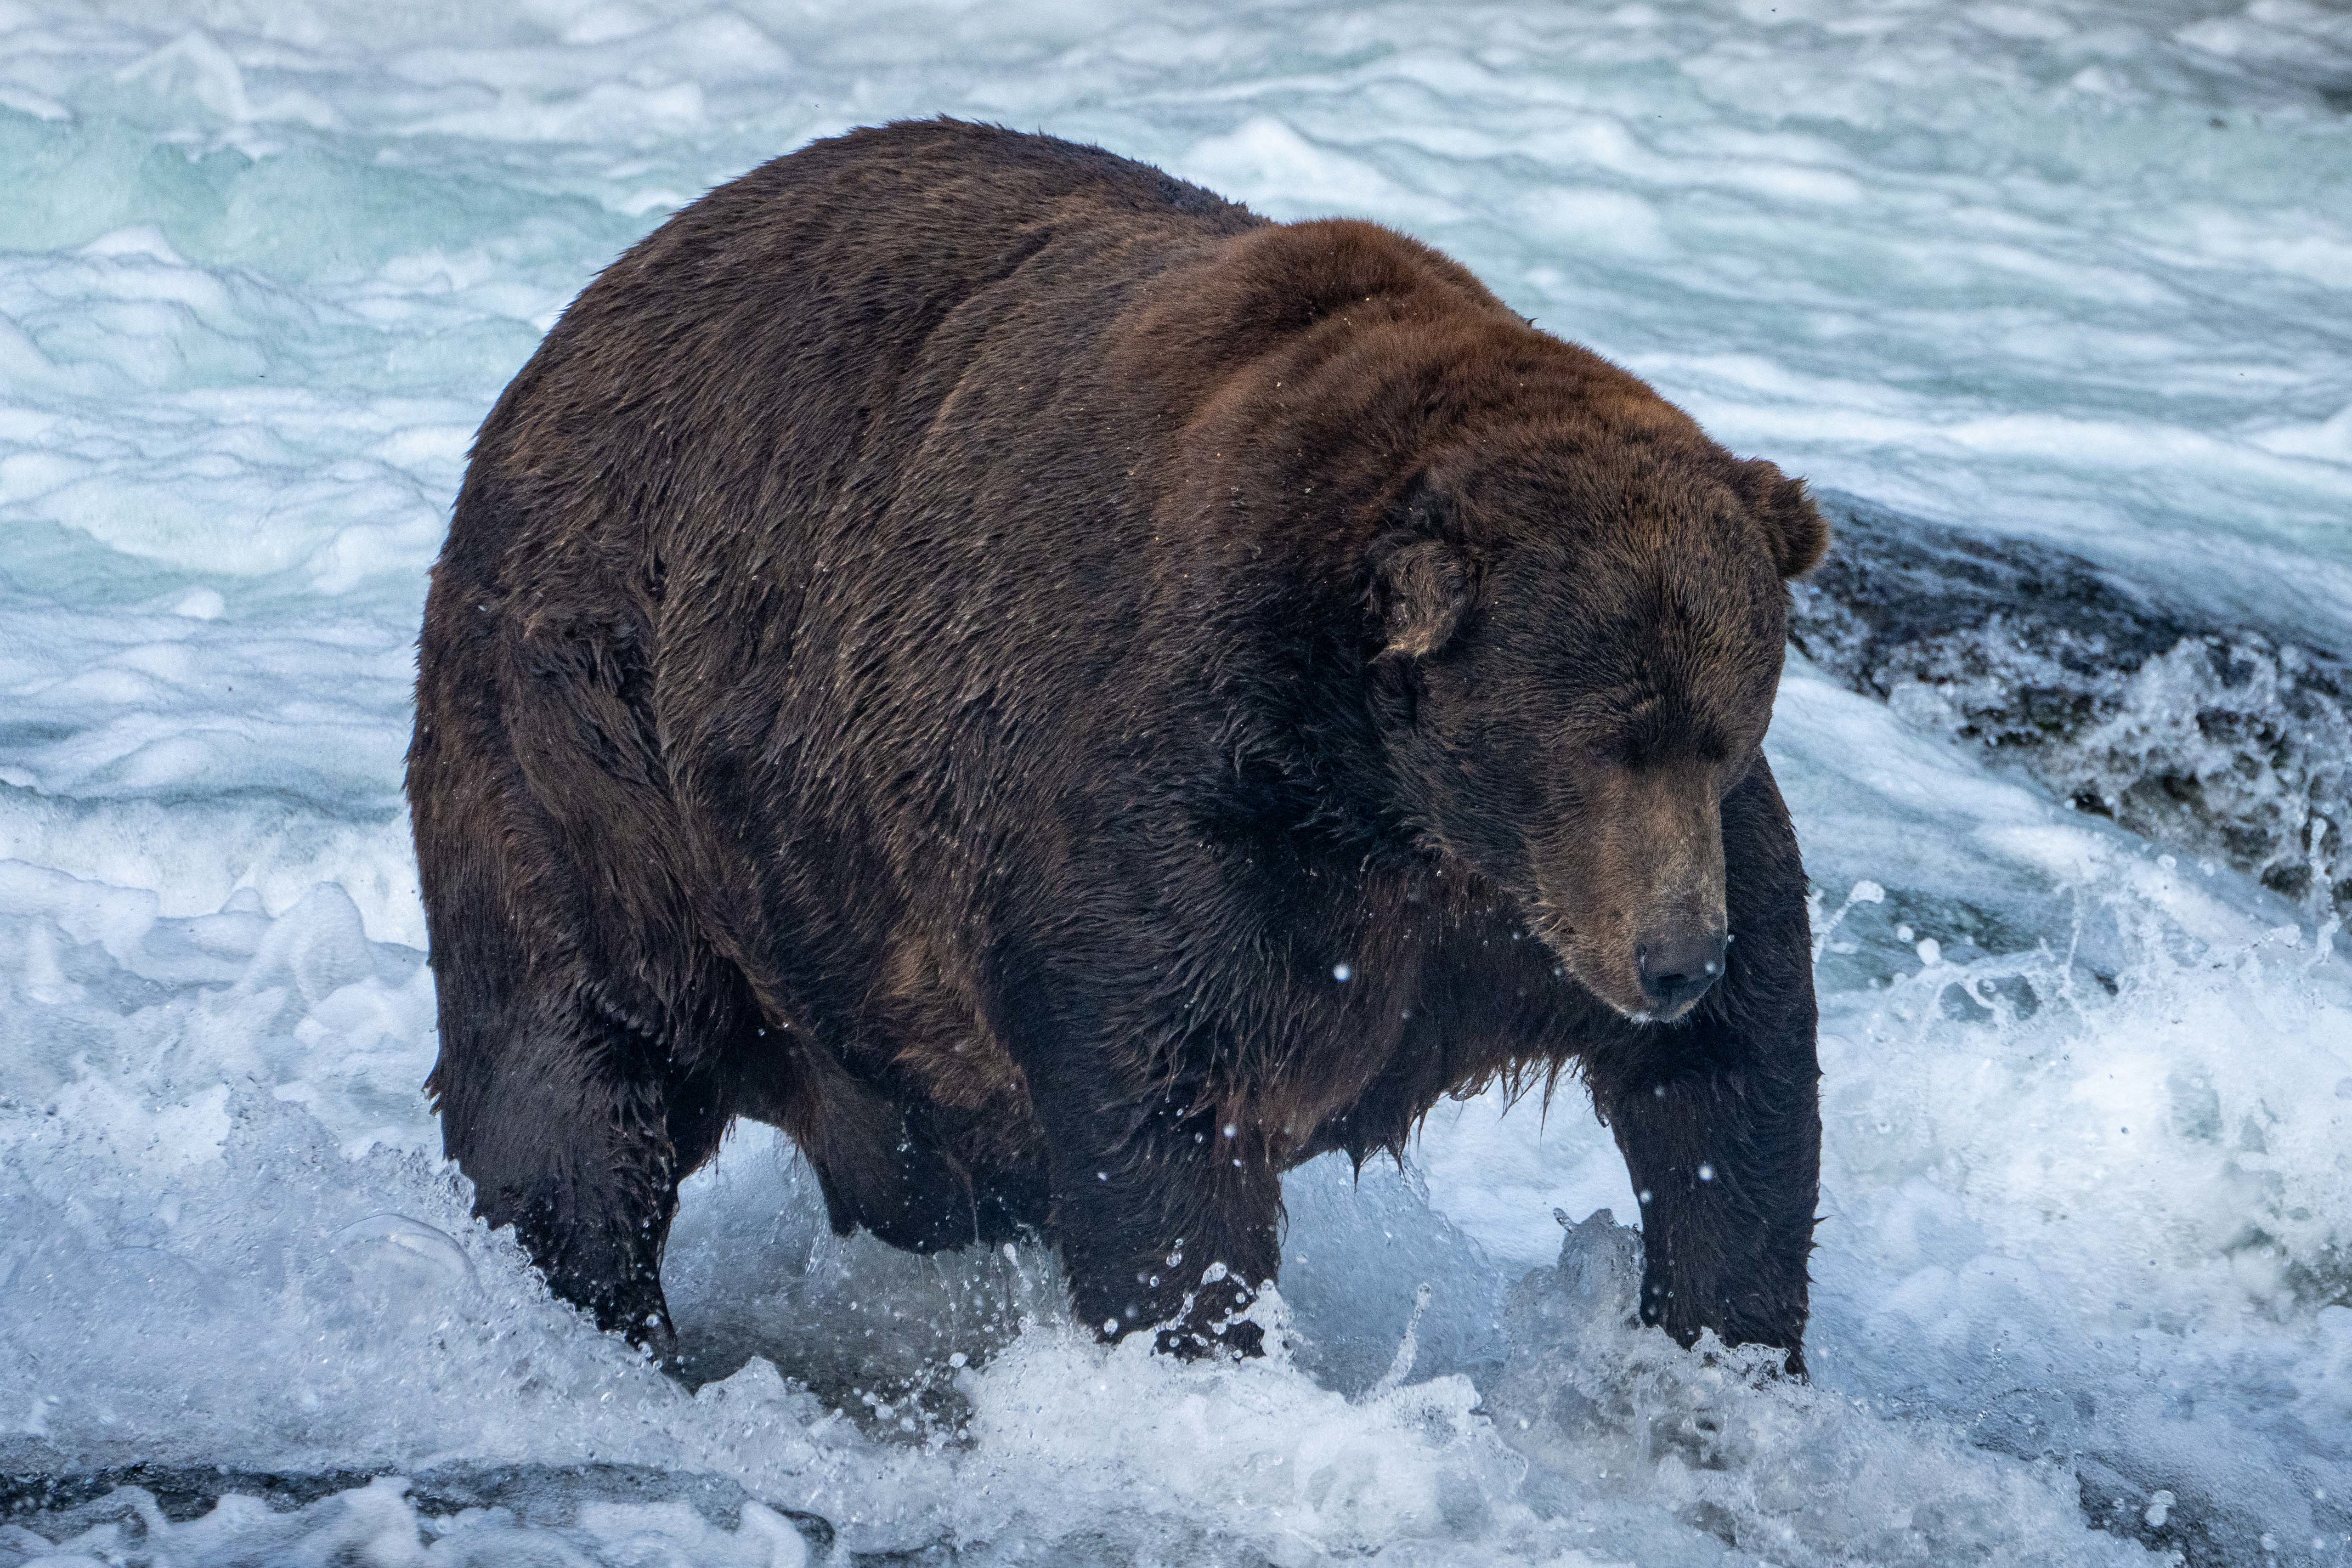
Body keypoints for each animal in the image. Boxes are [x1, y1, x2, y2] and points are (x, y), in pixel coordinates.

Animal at [414, 119, 1825, 1373]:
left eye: (1721, 729)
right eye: (1599, 739)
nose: (1672, 958)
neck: (1384, 789)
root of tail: (583, 316)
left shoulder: (1518, 907)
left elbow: (1735, 1084)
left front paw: (1723, 1347)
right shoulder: (1184, 814)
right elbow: (1166, 1111)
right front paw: (1205, 1348)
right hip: (600, 743)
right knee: (580, 1058)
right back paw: (604, 1312)